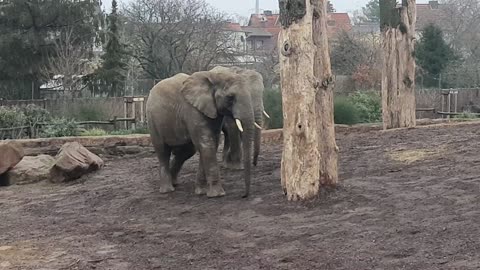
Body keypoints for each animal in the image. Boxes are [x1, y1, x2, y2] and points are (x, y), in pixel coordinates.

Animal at [145, 70, 260, 198]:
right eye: (230, 97)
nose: (244, 195)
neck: (213, 76)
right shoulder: (192, 110)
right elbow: (206, 144)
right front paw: (217, 194)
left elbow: (212, 143)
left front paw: (201, 191)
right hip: (152, 121)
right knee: (163, 151)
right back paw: (167, 190)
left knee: (186, 151)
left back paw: (174, 182)